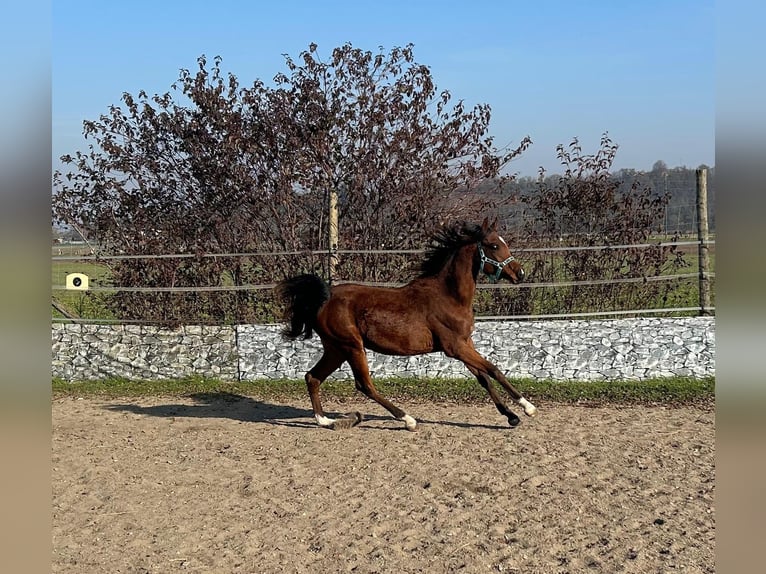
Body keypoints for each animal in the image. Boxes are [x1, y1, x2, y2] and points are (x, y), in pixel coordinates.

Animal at [276, 220, 540, 432]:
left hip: (336, 349)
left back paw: (327, 421)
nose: (520, 273)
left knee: (312, 377)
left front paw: (511, 416)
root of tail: (323, 297)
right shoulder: (455, 347)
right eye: (493, 245)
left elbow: (484, 377)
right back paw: (407, 420)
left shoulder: (465, 344)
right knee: (364, 385)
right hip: (351, 346)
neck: (450, 296)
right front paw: (527, 408)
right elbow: (494, 369)